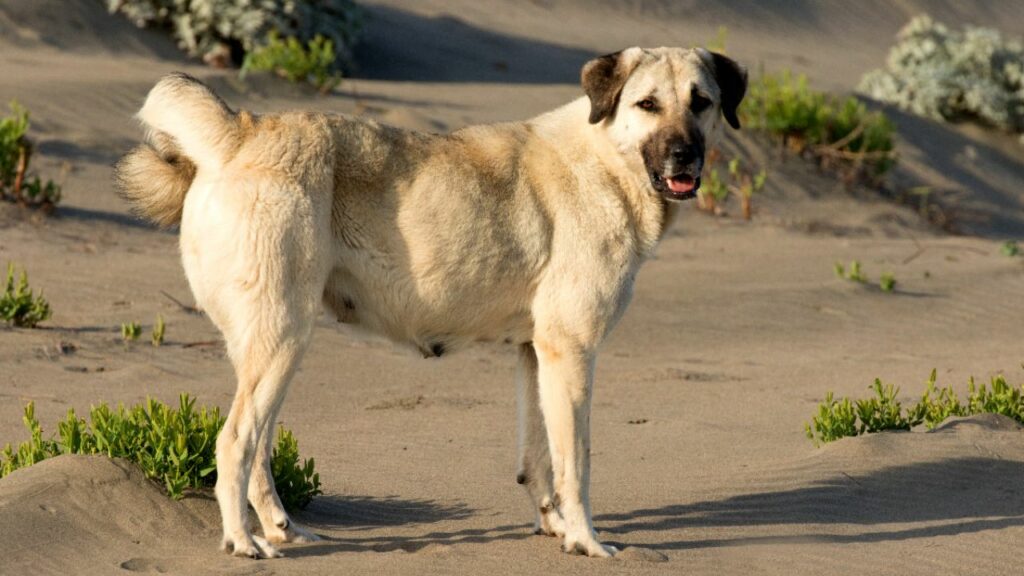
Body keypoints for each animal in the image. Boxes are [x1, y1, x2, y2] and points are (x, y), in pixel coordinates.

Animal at [116, 45, 749, 557]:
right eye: (647, 104)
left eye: (701, 103)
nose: (684, 157)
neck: (608, 158)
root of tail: (241, 131)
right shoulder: (572, 352)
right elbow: (578, 465)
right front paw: (588, 542)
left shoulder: (536, 354)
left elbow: (540, 459)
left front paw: (556, 530)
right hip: (283, 339)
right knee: (233, 444)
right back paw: (244, 543)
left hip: (272, 349)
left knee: (259, 450)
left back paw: (281, 529)